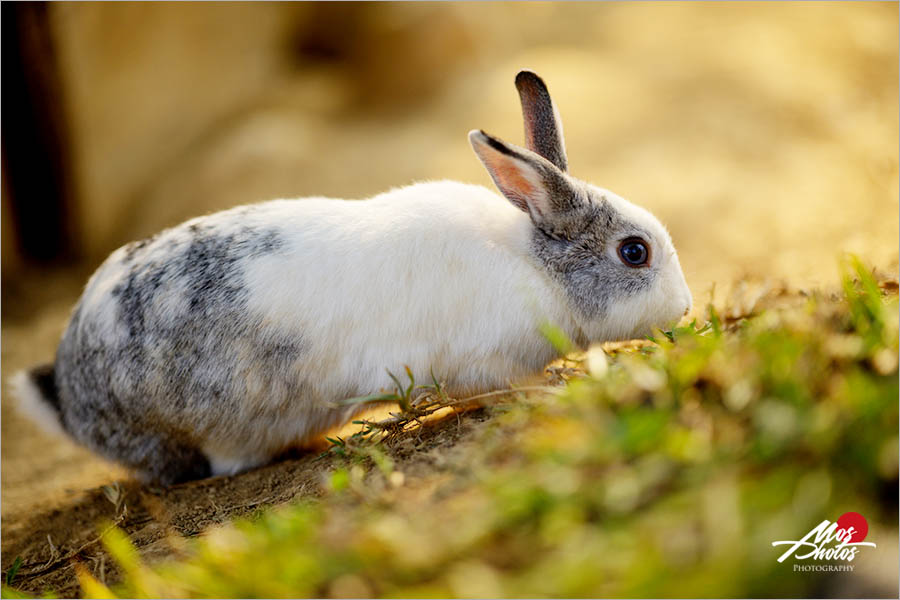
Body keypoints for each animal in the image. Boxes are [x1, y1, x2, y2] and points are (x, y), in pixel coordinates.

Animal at [10, 70, 692, 486]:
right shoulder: (482, 362)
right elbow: (494, 390)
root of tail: (70, 397)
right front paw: (554, 388)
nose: (684, 308)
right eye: (634, 252)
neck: (534, 264)